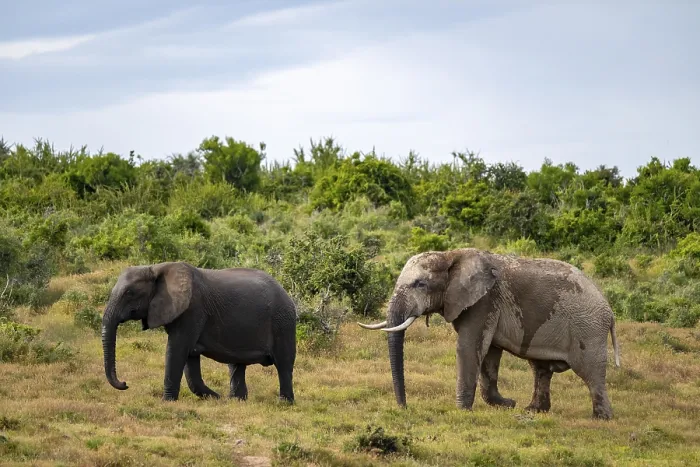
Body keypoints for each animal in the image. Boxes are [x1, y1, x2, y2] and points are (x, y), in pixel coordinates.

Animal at [101, 261, 297, 403]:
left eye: (130, 293)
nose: (125, 384)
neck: (156, 268)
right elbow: (189, 358)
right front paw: (216, 398)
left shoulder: (192, 310)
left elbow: (177, 350)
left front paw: (167, 402)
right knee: (236, 364)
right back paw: (236, 401)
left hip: (283, 322)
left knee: (284, 364)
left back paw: (284, 403)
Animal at [358, 248, 620, 420]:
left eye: (420, 284)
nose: (404, 408)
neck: (450, 254)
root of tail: (609, 310)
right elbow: (489, 354)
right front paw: (506, 404)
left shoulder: (483, 302)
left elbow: (469, 346)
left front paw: (462, 411)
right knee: (540, 369)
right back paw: (533, 410)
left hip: (588, 328)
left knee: (590, 371)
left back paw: (601, 418)